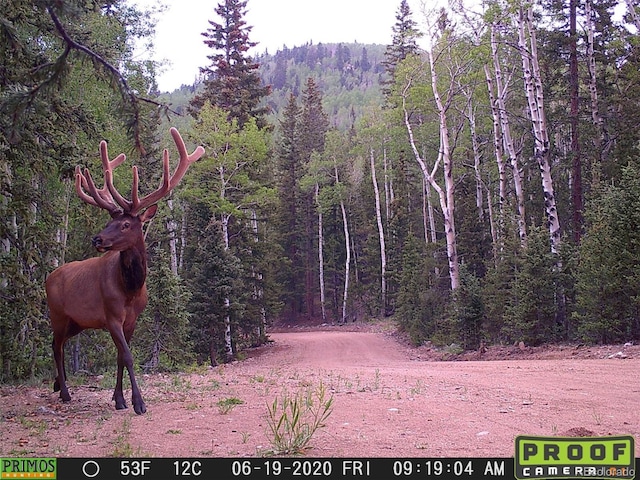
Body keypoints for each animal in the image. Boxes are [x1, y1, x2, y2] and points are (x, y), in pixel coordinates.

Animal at [45, 127, 205, 412]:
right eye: (110, 220)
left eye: (126, 224)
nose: (97, 239)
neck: (130, 290)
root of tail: (48, 278)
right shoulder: (111, 316)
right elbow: (129, 357)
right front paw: (138, 402)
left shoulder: (131, 320)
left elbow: (121, 357)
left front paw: (119, 399)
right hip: (58, 315)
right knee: (57, 346)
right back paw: (64, 392)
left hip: (77, 321)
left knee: (56, 344)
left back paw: (57, 386)